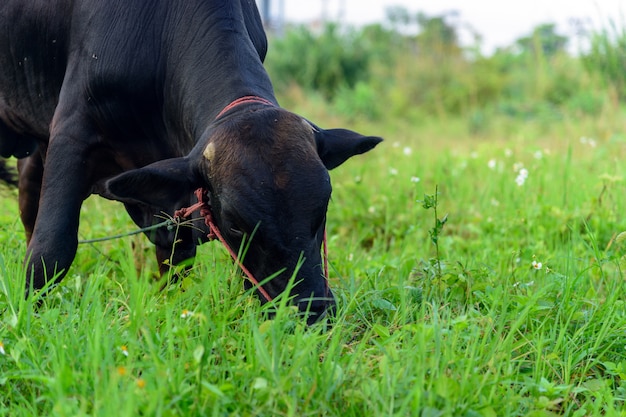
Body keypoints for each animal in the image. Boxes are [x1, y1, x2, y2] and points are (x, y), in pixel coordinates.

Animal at [0, 0, 380, 324]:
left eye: (322, 212)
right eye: (236, 225)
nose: (309, 312)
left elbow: (175, 256)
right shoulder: (71, 130)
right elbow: (51, 249)